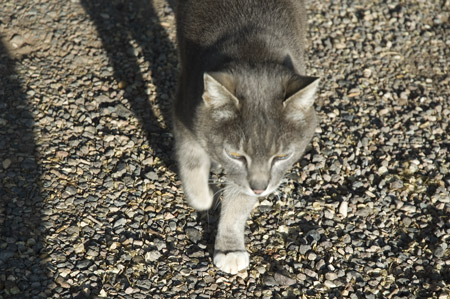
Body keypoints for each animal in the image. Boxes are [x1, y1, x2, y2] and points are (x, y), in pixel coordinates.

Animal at [172, 0, 320, 274]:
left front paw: (229, 249)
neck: (253, 50)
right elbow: (192, 163)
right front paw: (204, 198)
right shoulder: (185, 113)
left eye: (282, 156)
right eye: (235, 154)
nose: (260, 189)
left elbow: (239, 202)